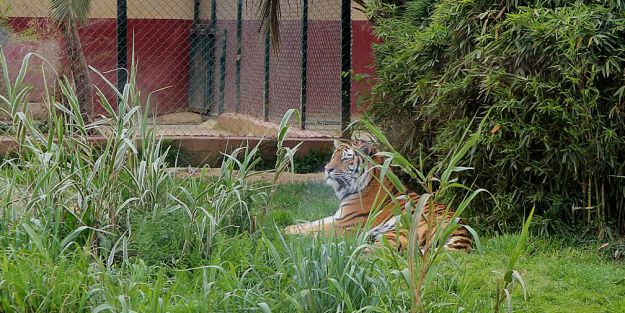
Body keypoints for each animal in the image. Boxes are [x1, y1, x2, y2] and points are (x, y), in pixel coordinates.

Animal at [284, 139, 472, 251]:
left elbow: (318, 229)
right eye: (333, 155)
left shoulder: (345, 224)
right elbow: (312, 223)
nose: (327, 169)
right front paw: (288, 227)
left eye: (346, 158)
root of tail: (463, 231)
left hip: (400, 230)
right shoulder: (339, 216)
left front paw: (289, 234)